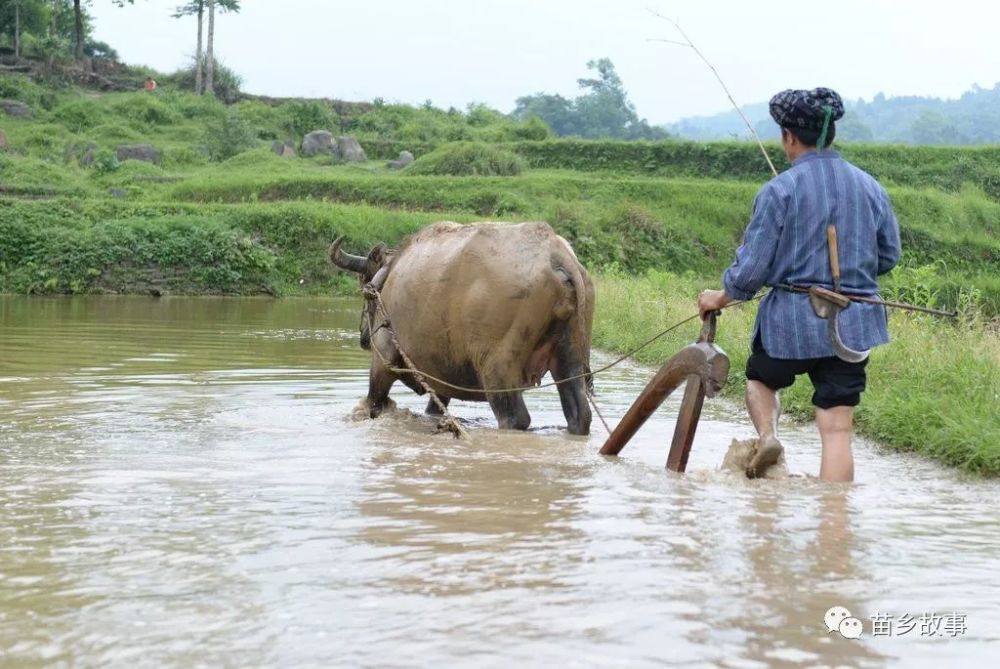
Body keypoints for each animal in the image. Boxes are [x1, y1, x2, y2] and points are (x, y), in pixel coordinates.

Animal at [332, 222, 592, 436]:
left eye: (364, 284)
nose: (364, 337)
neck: (391, 274)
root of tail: (555, 253)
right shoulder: (441, 375)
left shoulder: (384, 357)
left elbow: (374, 400)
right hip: (570, 358)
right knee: (580, 413)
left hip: (497, 368)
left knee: (514, 417)